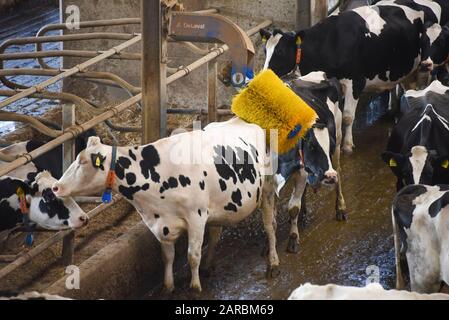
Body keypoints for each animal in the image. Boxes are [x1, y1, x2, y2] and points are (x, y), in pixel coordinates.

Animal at [50, 120, 280, 292]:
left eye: (83, 161)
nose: (56, 187)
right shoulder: (161, 223)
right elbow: (167, 256)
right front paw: (168, 287)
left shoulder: (196, 216)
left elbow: (192, 255)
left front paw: (195, 287)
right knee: (216, 233)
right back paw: (209, 266)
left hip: (267, 190)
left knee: (270, 226)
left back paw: (273, 262)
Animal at [258, 0, 448, 154]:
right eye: (265, 50)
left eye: (280, 51)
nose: (264, 75)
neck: (332, 41)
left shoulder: (356, 81)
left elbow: (348, 116)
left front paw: (347, 145)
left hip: (426, 65)